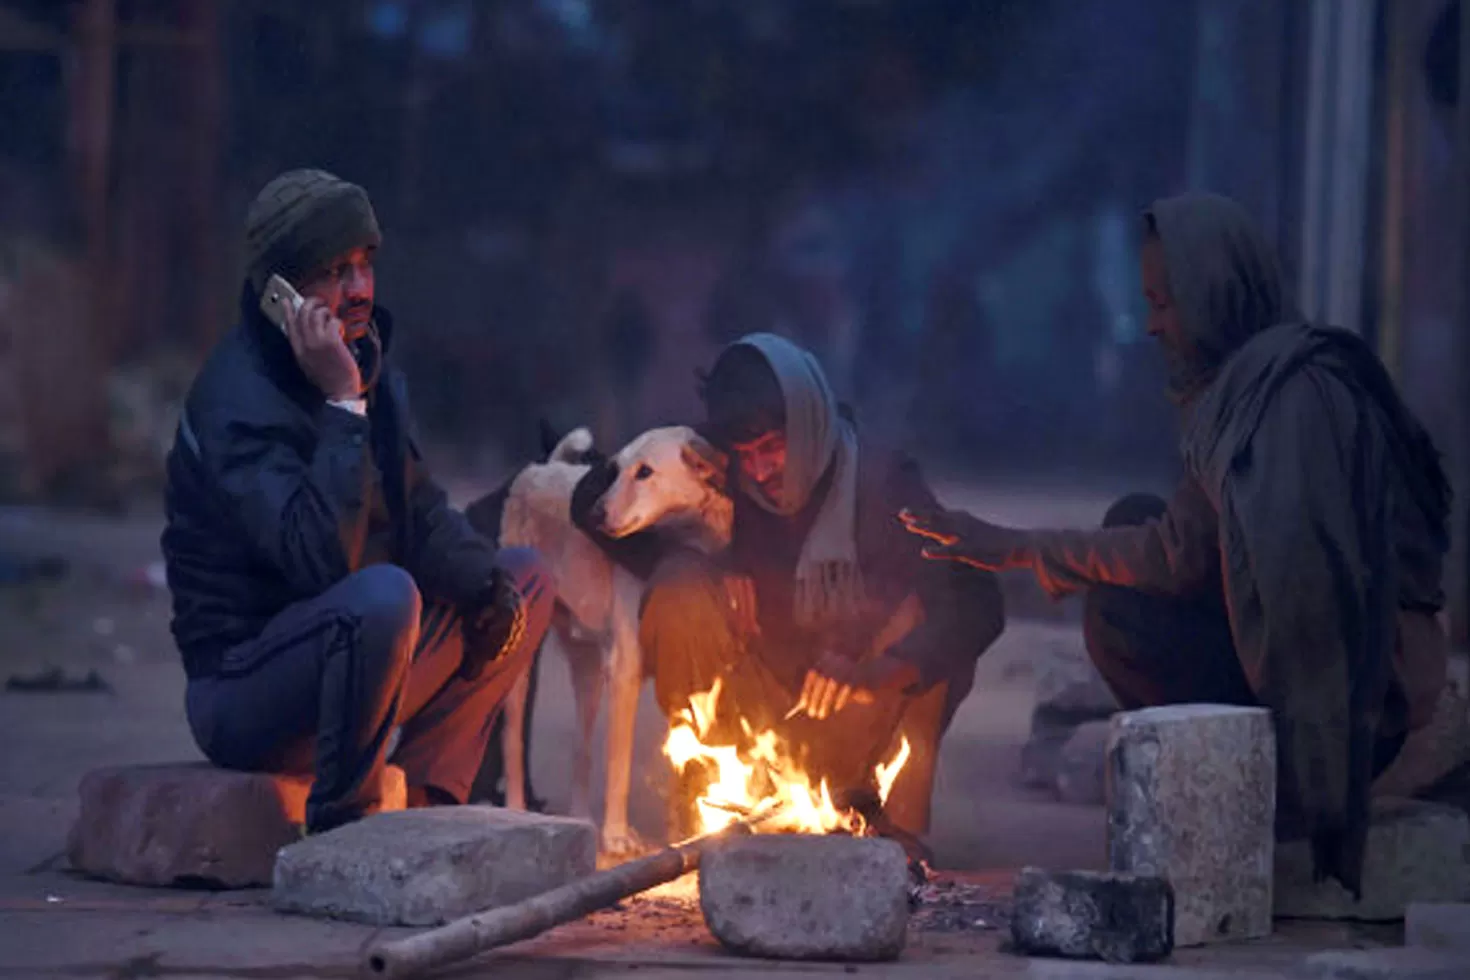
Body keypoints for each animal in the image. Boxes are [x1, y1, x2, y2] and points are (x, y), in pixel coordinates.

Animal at [485, 426, 732, 852]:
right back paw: (519, 811)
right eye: (614, 470)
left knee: (580, 752)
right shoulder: (626, 671)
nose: (594, 513)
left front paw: (679, 833)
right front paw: (616, 836)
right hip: (525, 665)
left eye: (645, 472)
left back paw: (581, 819)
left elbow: (682, 756)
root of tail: (539, 469)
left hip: (587, 671)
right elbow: (619, 764)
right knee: (513, 742)